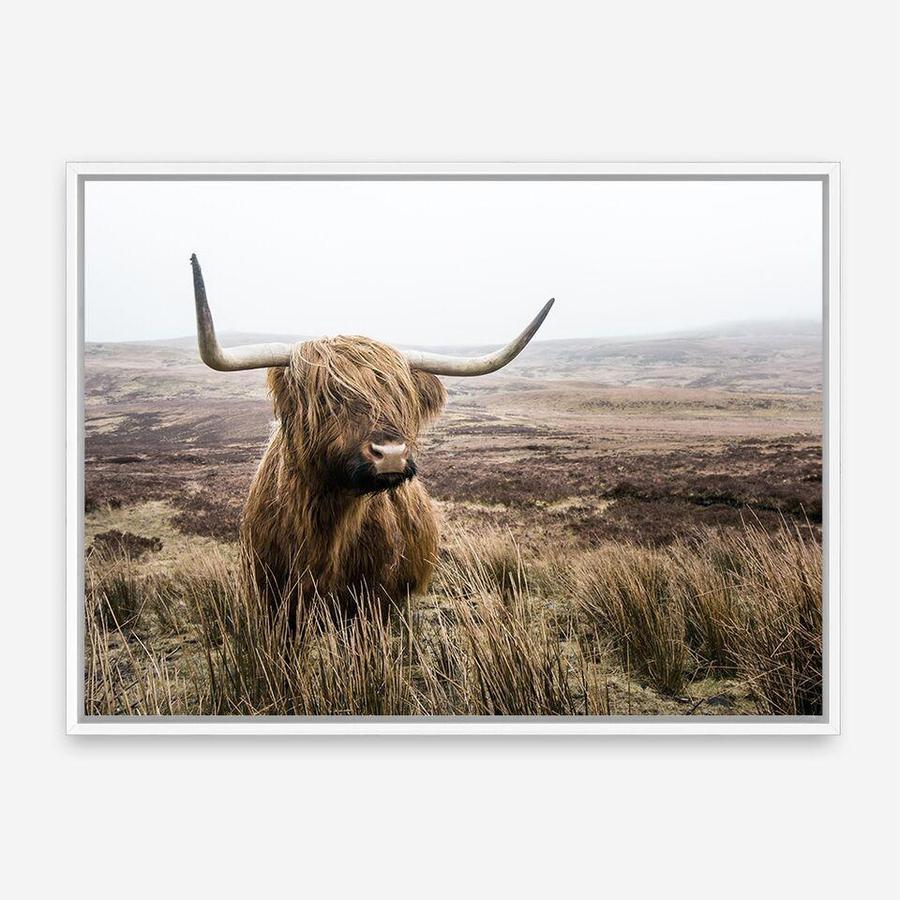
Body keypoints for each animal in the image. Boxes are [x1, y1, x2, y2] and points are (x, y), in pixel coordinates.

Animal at [189, 254, 553, 621]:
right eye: (327, 398)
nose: (391, 454)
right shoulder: (272, 599)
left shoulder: (375, 601)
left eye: (402, 399)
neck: (327, 525)